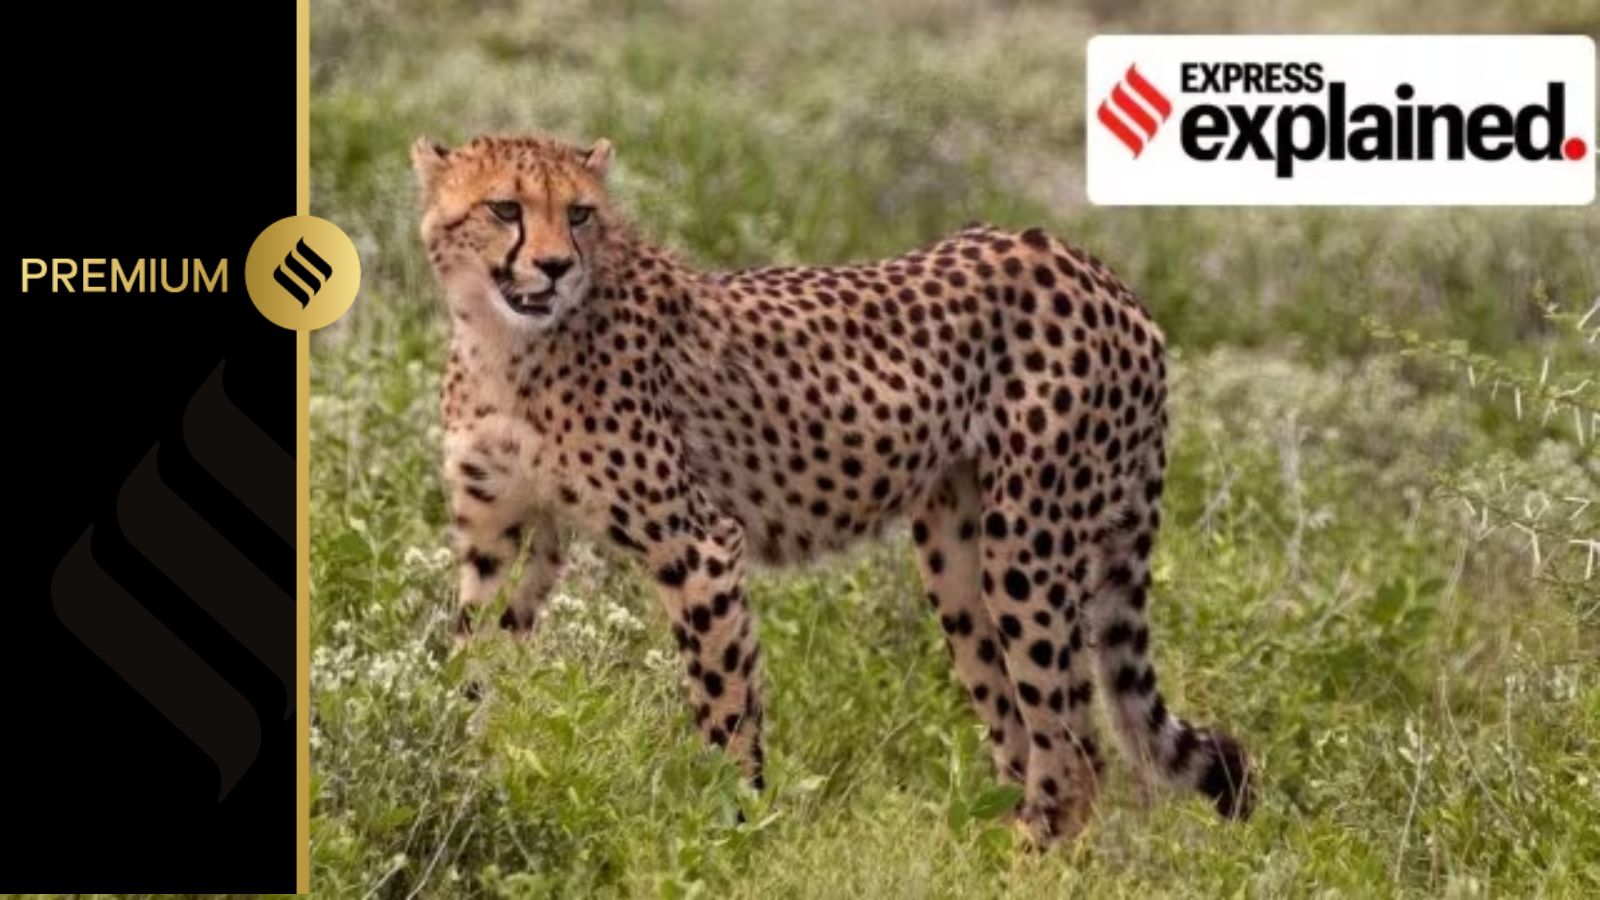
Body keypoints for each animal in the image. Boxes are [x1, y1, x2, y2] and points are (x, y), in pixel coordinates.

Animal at [411, 132, 1253, 843]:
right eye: (505, 208)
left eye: (580, 214)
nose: (554, 267)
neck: (505, 344)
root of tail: (1099, 271)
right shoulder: (505, 536)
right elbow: (473, 664)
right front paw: (458, 770)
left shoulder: (698, 544)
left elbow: (725, 707)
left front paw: (733, 833)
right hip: (958, 562)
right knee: (1025, 740)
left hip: (1028, 549)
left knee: (1076, 754)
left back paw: (1021, 866)